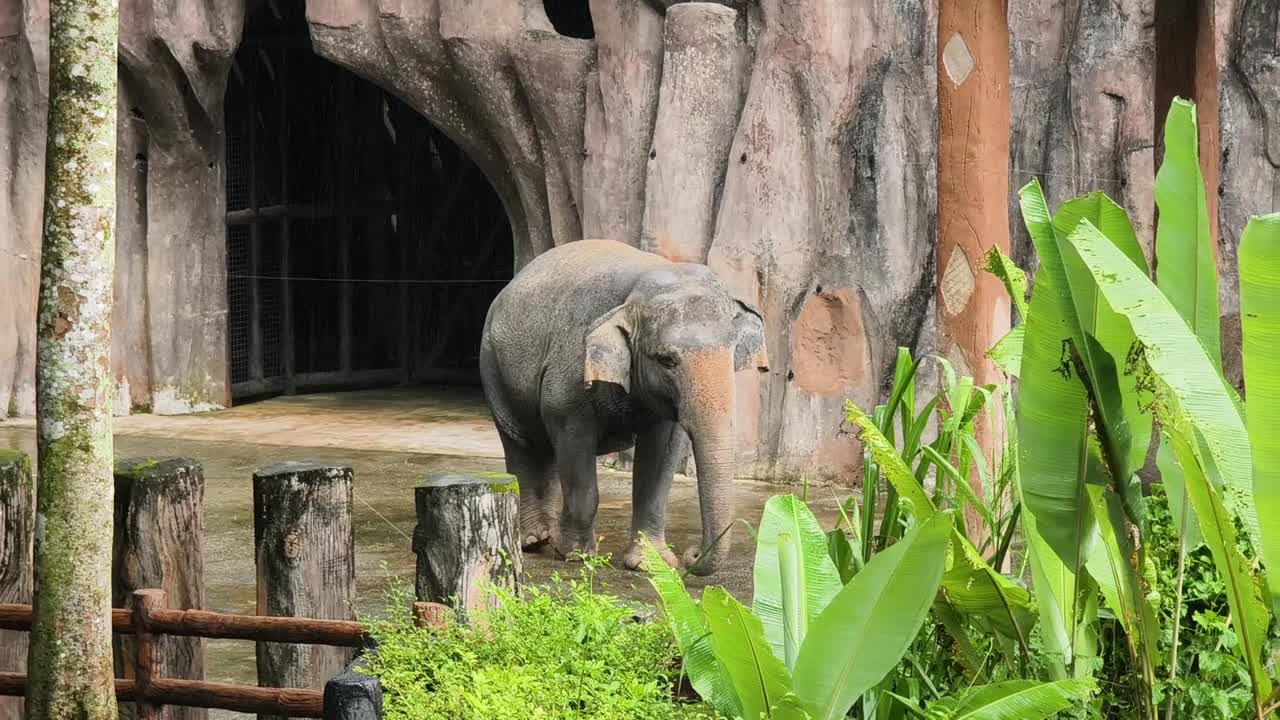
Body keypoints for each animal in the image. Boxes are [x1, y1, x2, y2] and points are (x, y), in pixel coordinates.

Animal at [478, 239, 768, 575]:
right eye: (666, 360)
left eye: (732, 352)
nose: (691, 554)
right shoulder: (571, 368)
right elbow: (574, 443)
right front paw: (576, 555)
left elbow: (659, 457)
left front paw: (651, 563)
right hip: (493, 366)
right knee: (523, 444)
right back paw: (535, 540)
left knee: (545, 449)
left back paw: (545, 537)